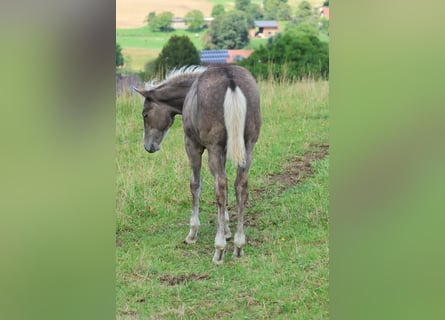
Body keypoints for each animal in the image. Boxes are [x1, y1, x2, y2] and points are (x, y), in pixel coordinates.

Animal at [134, 63, 262, 264]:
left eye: (145, 115)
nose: (149, 146)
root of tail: (231, 79)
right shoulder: (225, 150)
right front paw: (227, 230)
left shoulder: (193, 145)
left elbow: (195, 184)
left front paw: (193, 233)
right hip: (248, 147)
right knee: (240, 186)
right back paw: (239, 245)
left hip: (213, 148)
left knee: (220, 187)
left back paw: (219, 250)